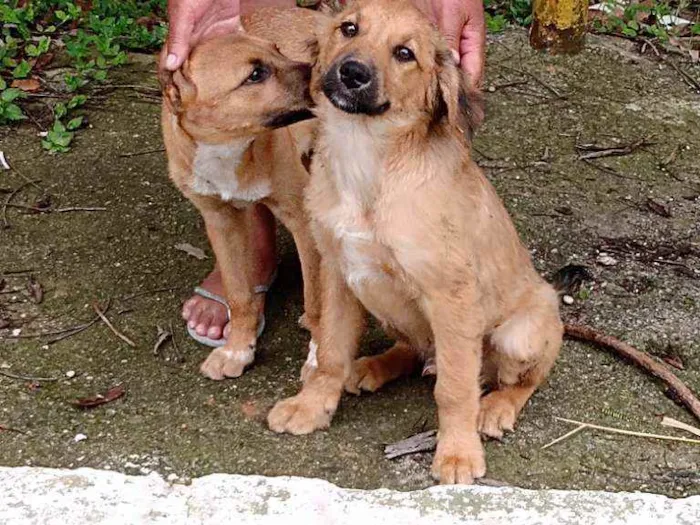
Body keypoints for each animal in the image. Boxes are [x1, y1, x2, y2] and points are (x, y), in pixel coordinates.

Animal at [163, 7, 326, 376]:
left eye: (278, 50)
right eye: (255, 75)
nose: (327, 73)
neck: (230, 146)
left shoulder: (302, 221)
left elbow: (315, 301)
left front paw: (318, 358)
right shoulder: (221, 222)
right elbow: (239, 296)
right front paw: (238, 349)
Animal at [268, 0, 564, 486]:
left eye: (404, 54)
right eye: (349, 28)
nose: (351, 72)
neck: (367, 158)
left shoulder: (451, 296)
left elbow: (455, 388)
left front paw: (458, 453)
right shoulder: (338, 273)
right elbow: (330, 352)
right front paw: (311, 406)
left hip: (521, 332)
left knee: (521, 379)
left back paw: (495, 408)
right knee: (412, 348)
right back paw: (370, 366)